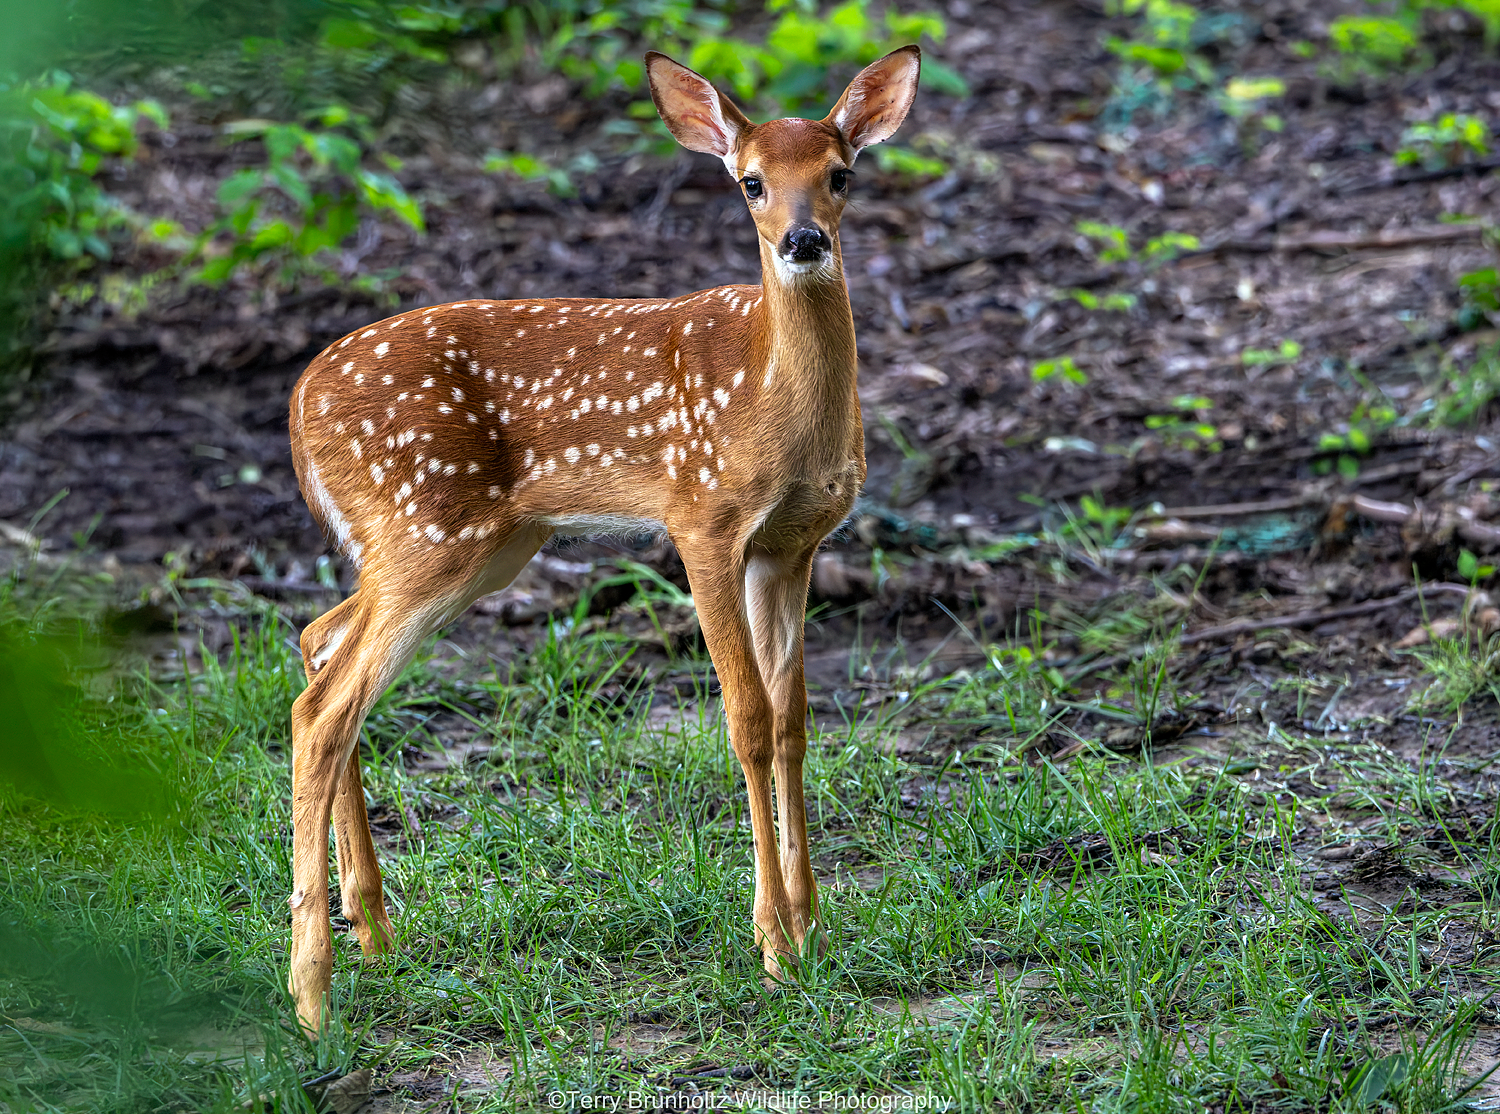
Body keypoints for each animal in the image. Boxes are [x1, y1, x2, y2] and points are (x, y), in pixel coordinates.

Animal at [284, 45, 921, 1032]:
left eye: (841, 175)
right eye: (749, 182)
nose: (803, 241)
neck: (774, 402)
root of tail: (297, 404)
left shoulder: (793, 544)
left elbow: (793, 721)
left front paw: (814, 925)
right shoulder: (702, 518)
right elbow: (745, 720)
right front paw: (774, 945)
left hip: (471, 545)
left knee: (320, 646)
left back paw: (376, 934)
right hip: (428, 527)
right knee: (321, 713)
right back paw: (313, 994)